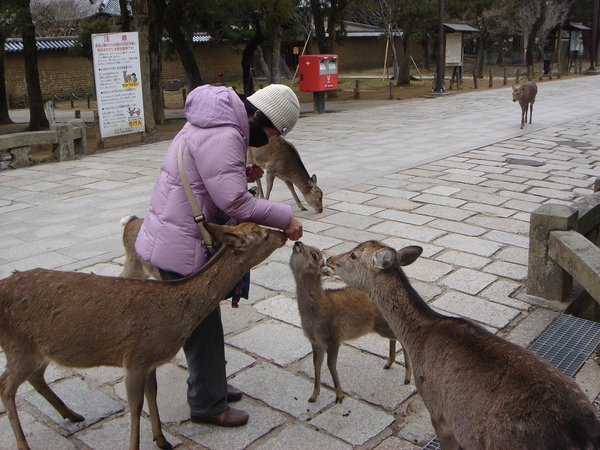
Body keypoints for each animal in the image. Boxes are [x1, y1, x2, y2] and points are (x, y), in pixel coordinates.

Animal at [0, 221, 286, 450]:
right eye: (263, 234)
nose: (284, 233)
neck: (174, 317)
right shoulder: (135, 358)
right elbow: (136, 407)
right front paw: (138, 445)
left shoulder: (151, 361)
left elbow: (153, 396)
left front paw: (163, 440)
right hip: (18, 345)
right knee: (6, 387)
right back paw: (24, 444)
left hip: (37, 348)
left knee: (35, 377)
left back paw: (71, 414)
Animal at [288, 243, 410, 404]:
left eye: (314, 255)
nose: (298, 243)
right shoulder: (315, 341)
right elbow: (317, 364)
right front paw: (313, 396)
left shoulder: (334, 337)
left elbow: (331, 365)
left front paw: (339, 396)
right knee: (394, 337)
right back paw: (389, 363)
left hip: (381, 325)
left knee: (401, 338)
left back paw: (407, 378)